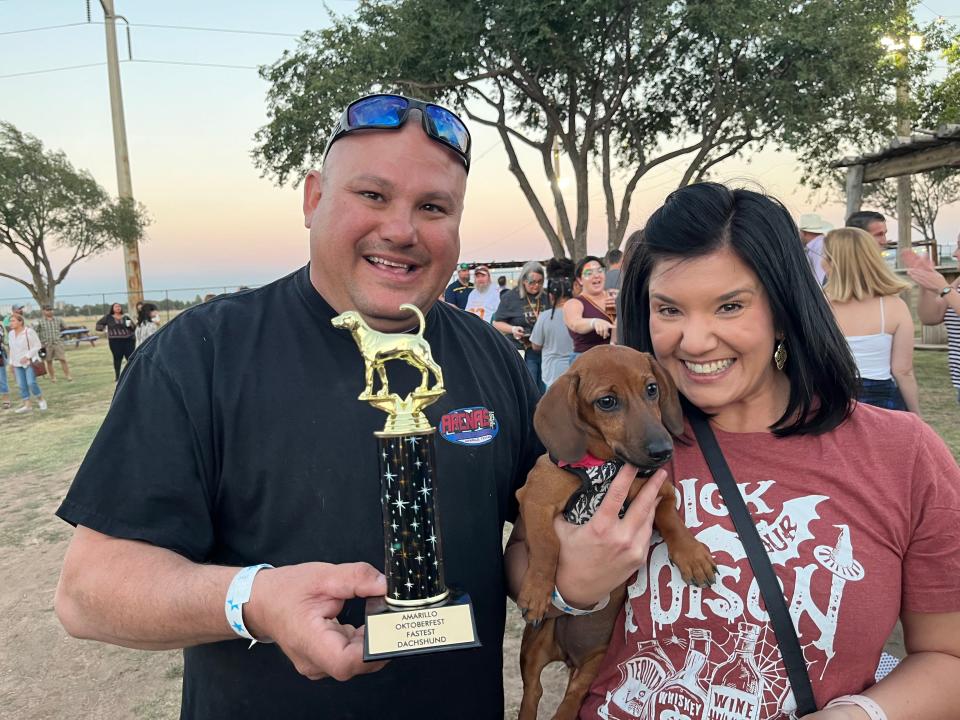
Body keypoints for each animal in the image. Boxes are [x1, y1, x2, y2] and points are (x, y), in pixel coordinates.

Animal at [516, 344, 712, 720]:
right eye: (607, 402)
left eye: (651, 389)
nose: (663, 451)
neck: (606, 468)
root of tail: (568, 656)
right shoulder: (534, 498)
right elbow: (547, 545)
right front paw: (536, 590)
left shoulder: (659, 491)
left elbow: (671, 519)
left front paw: (693, 555)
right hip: (533, 648)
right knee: (532, 692)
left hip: (593, 663)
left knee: (571, 699)